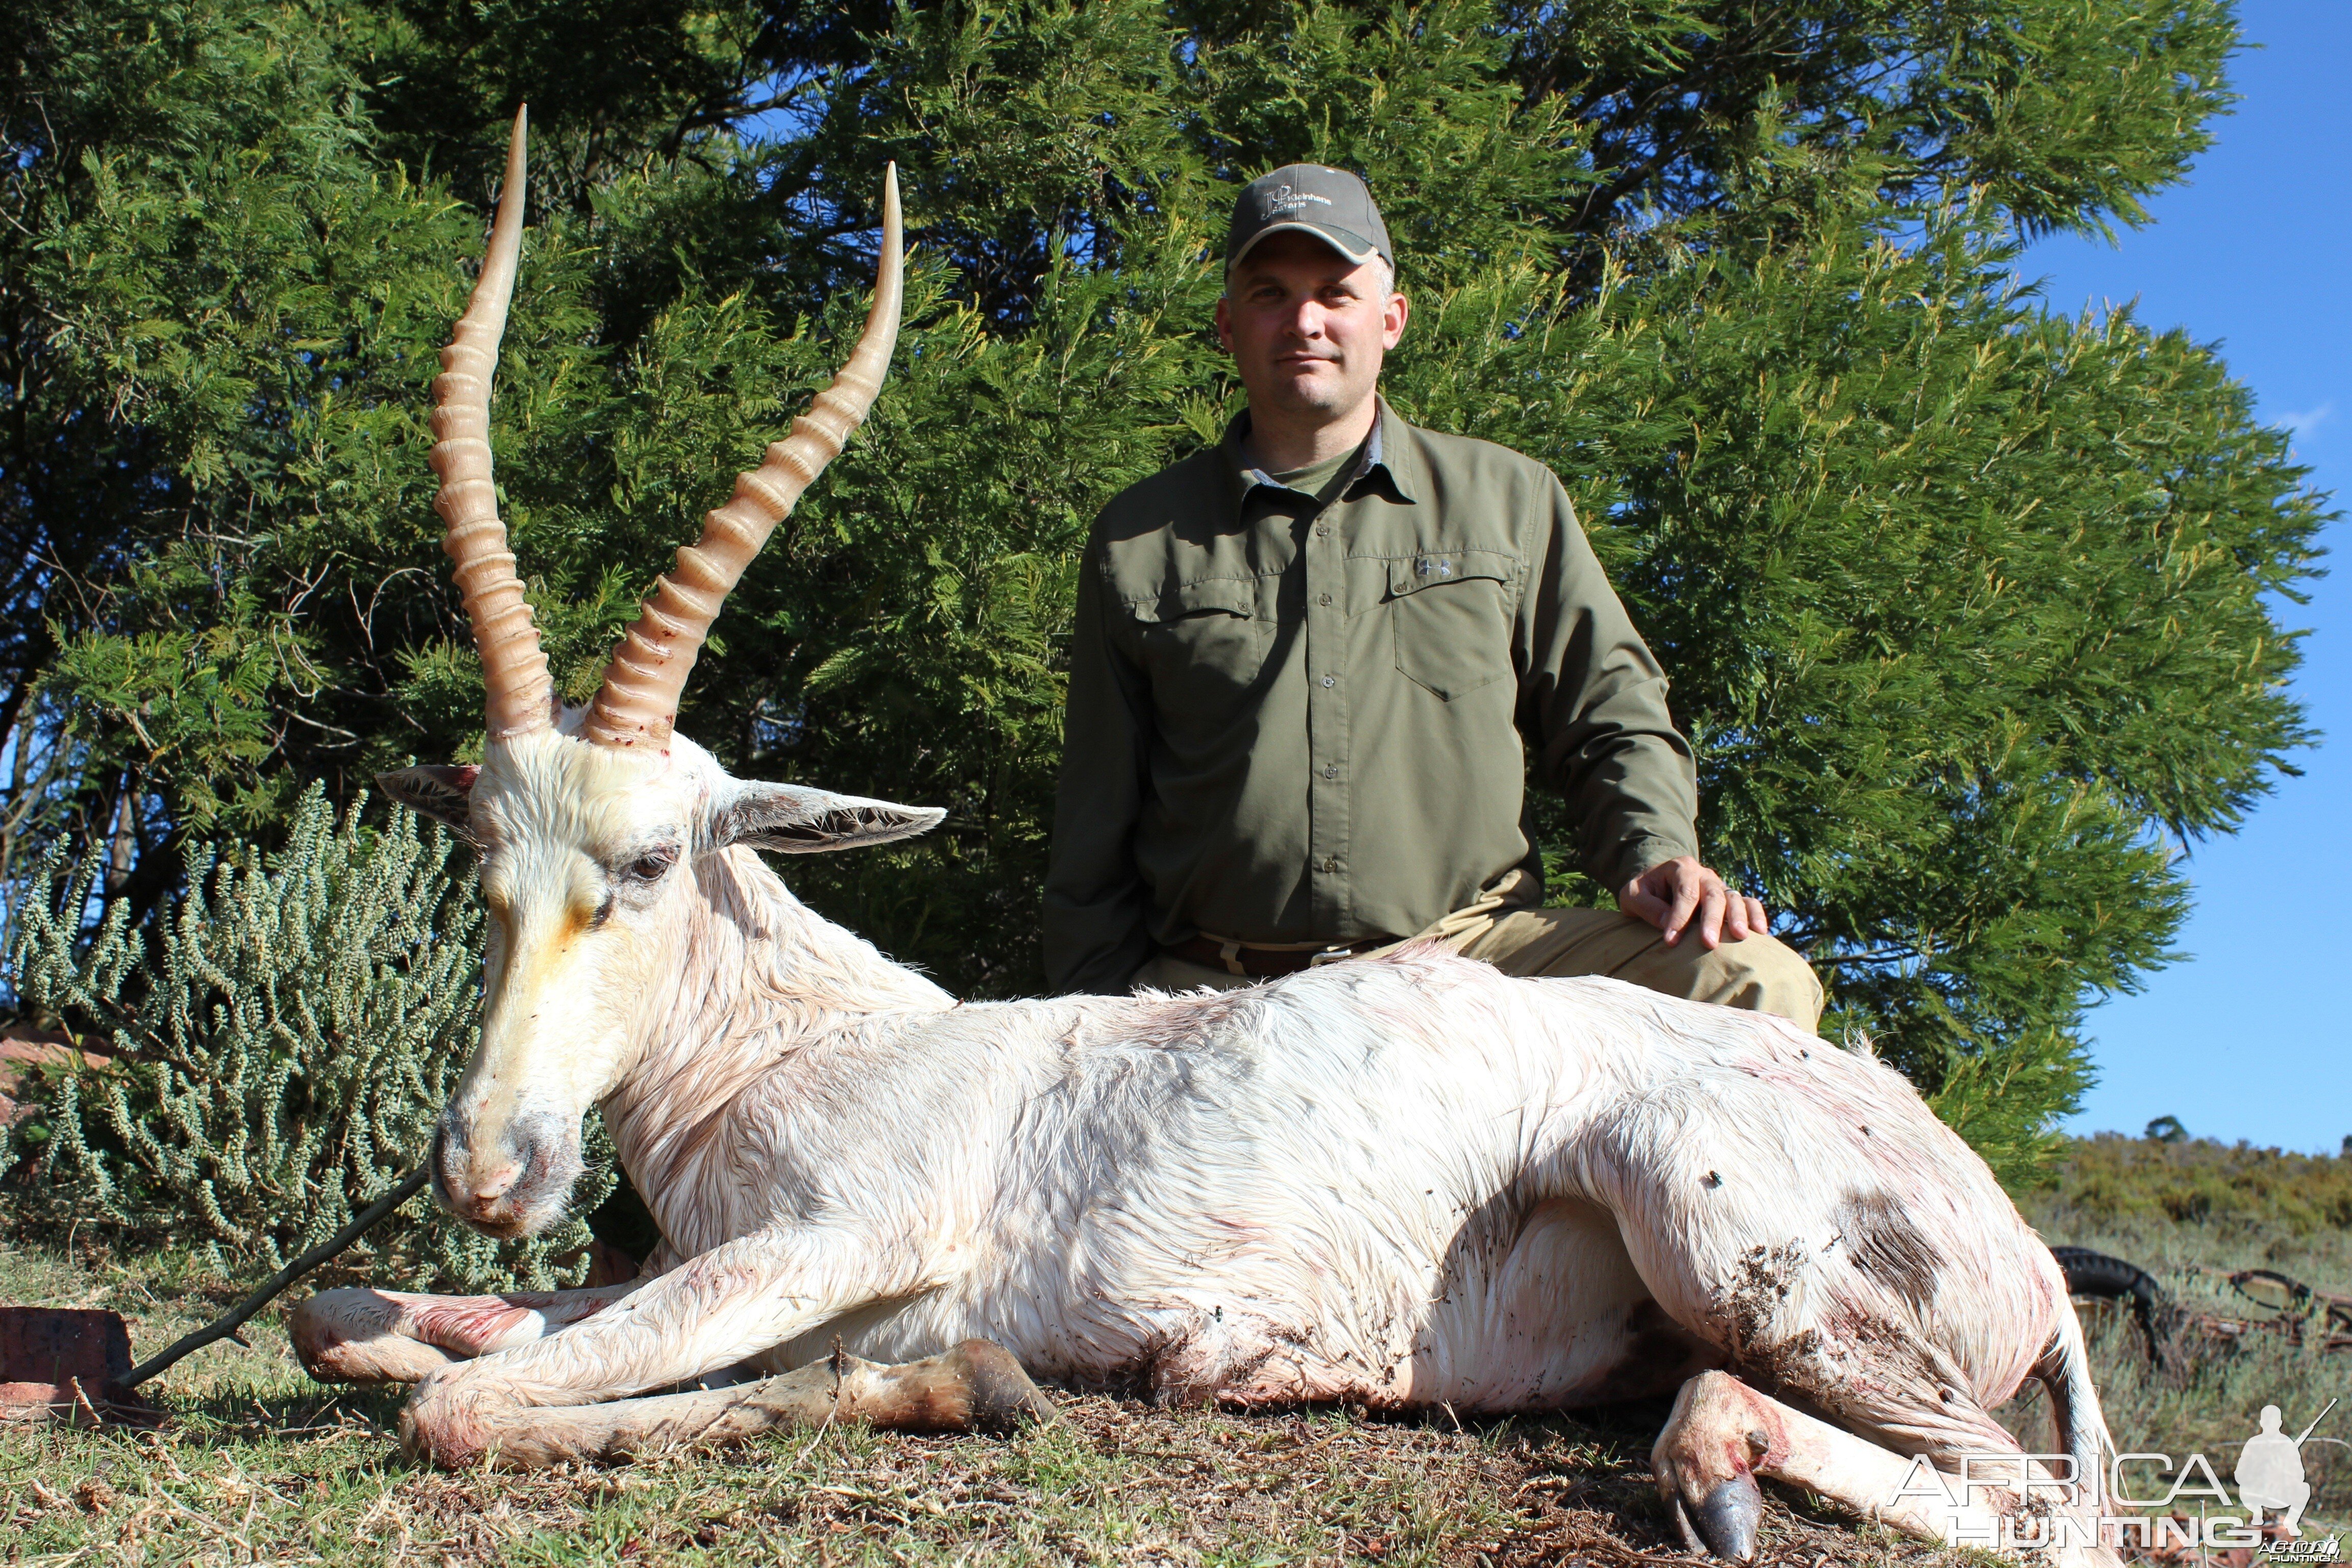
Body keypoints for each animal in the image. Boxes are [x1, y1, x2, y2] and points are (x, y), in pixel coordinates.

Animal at [289, 104, 2117, 1561]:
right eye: (480, 864)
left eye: (653, 863)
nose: (489, 1167)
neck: (803, 1040)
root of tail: (2011, 1233)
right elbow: (352, 1322)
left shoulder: (839, 1242)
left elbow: (467, 1408)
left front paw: (952, 1384)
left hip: (1724, 1228)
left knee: (2050, 1505)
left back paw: (1722, 1469)